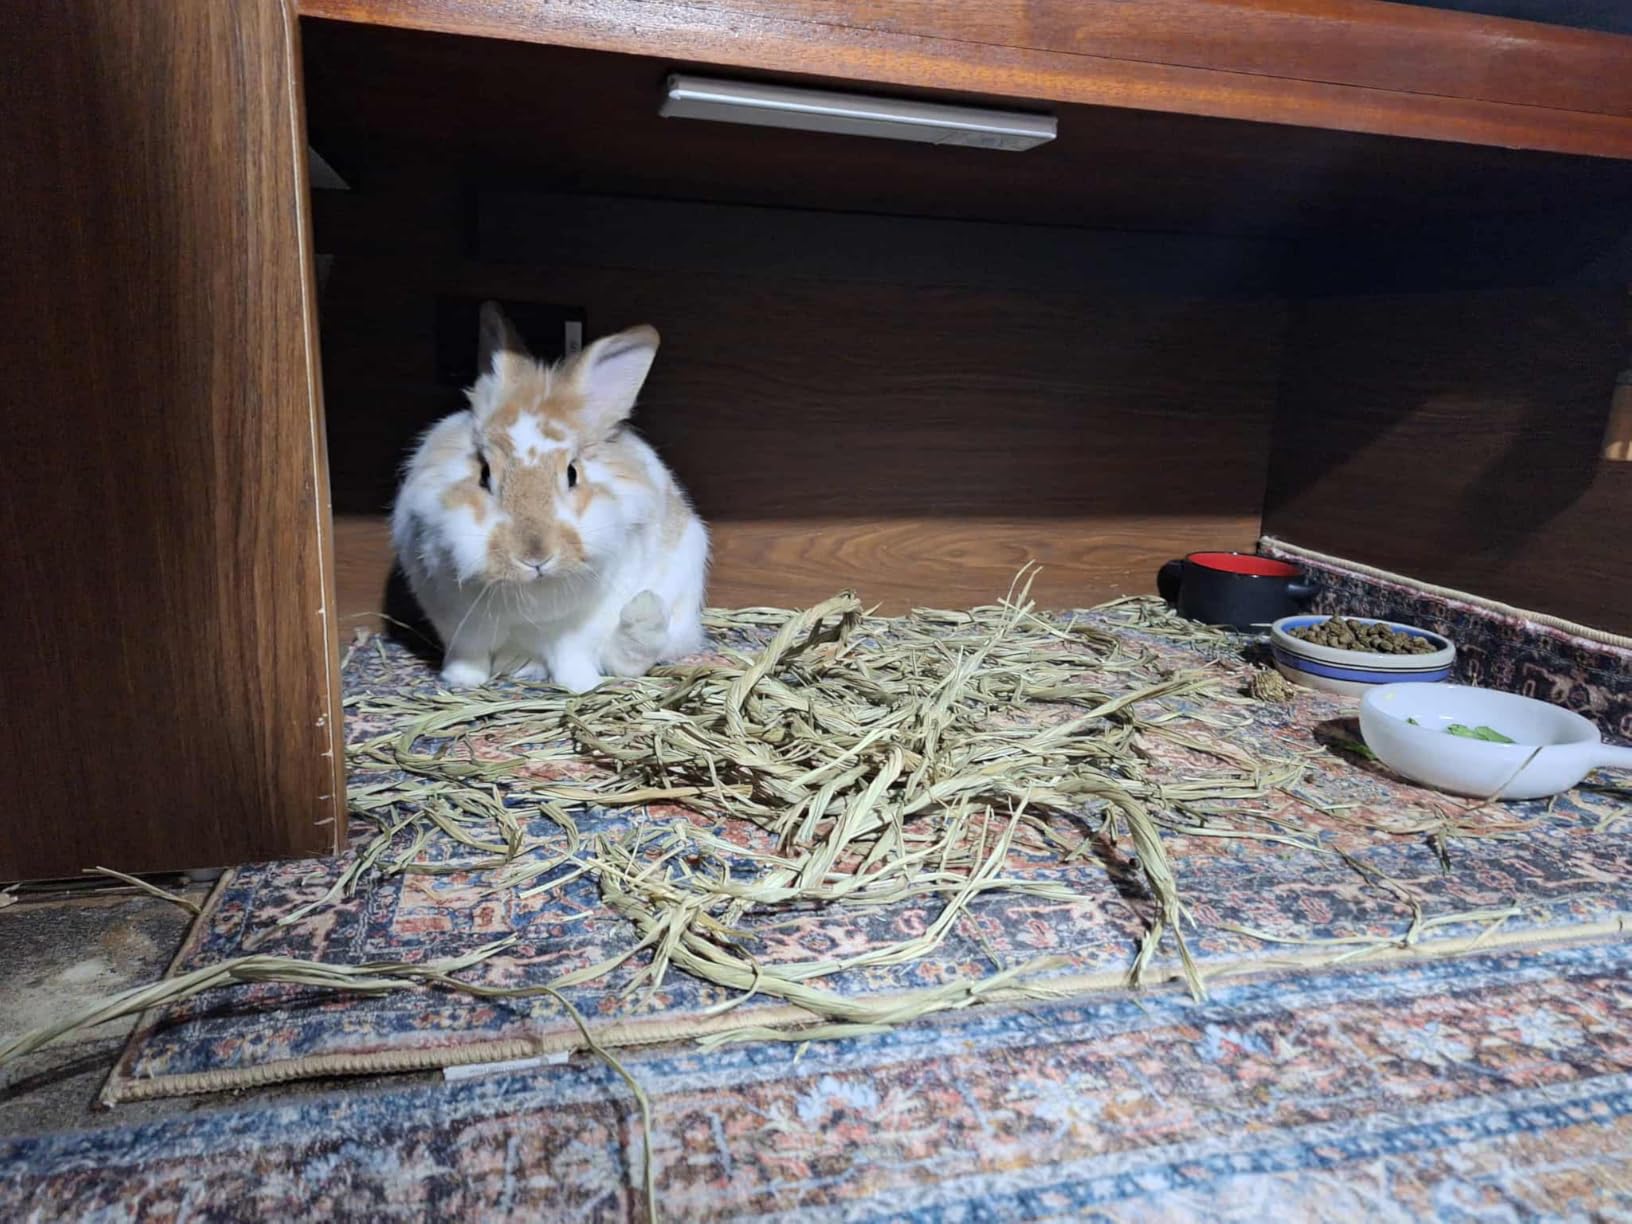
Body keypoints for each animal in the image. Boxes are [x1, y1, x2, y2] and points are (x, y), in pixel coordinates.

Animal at [391, 302, 709, 692]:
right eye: (484, 474)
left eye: (572, 473)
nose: (535, 556)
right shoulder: (459, 625)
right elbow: (468, 655)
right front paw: (461, 680)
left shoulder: (577, 629)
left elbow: (573, 657)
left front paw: (583, 685)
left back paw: (644, 614)